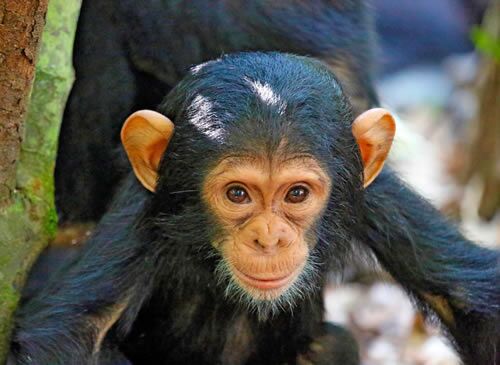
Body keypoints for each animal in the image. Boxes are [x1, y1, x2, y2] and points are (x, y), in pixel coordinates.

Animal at [11, 53, 500, 364]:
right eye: (238, 195)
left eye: (297, 194)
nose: (268, 237)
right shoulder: (146, 212)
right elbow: (68, 333)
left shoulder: (376, 196)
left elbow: (470, 299)